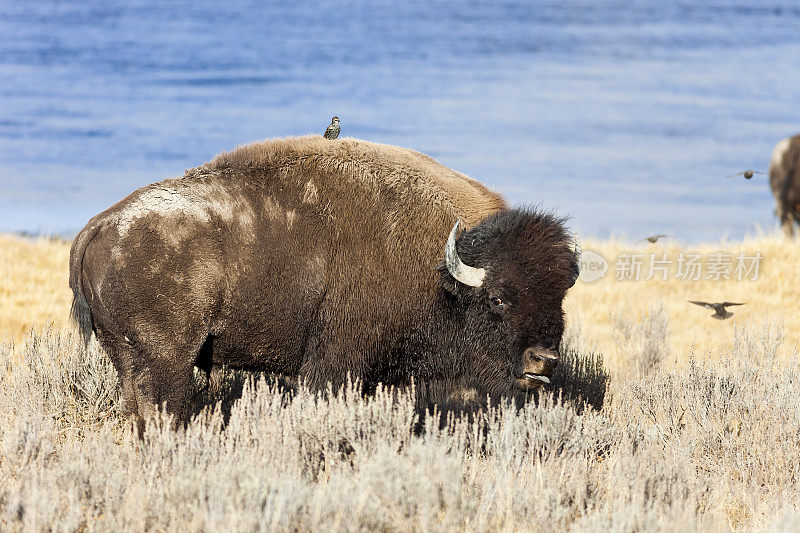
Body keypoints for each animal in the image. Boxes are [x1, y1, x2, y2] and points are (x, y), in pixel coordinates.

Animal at [69, 135, 580, 430]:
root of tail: (100, 225)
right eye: (497, 299)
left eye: (560, 299)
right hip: (169, 360)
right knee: (164, 407)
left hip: (127, 357)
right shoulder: (335, 362)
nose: (543, 361)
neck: (440, 269)